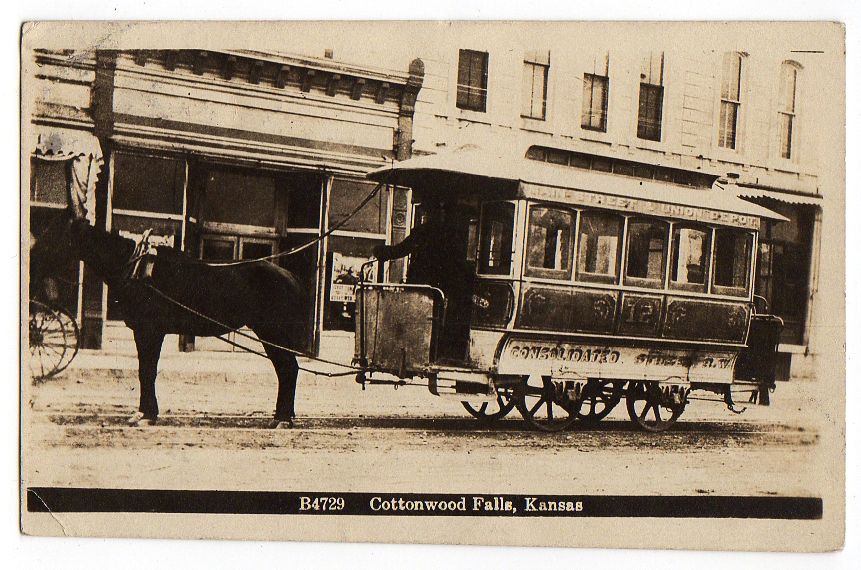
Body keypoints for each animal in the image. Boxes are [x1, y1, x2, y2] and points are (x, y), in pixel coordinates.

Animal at [31, 171, 310, 428]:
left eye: (53, 235)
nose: (31, 266)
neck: (136, 268)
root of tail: (291, 276)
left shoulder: (150, 330)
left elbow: (147, 370)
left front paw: (147, 415)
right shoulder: (143, 331)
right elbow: (144, 369)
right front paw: (144, 413)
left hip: (272, 331)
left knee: (288, 368)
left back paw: (283, 419)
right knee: (285, 368)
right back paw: (281, 417)